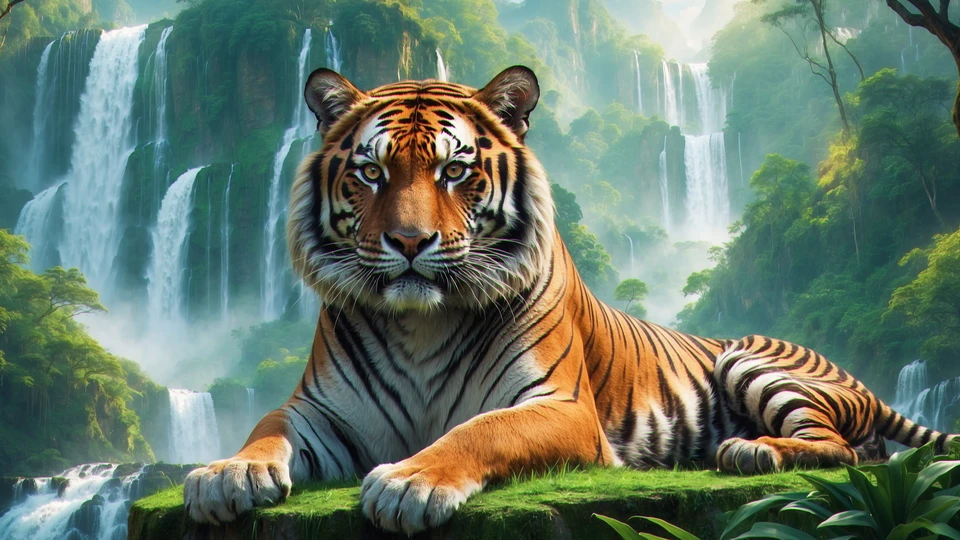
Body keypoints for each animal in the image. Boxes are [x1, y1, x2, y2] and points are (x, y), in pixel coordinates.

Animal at [183, 65, 958, 534]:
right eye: (371, 173)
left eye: (454, 171)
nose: (408, 241)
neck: (421, 323)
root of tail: (859, 378)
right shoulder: (323, 411)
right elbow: (267, 426)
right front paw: (225, 475)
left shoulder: (561, 407)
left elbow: (479, 430)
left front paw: (409, 481)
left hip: (751, 362)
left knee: (845, 449)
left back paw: (750, 452)